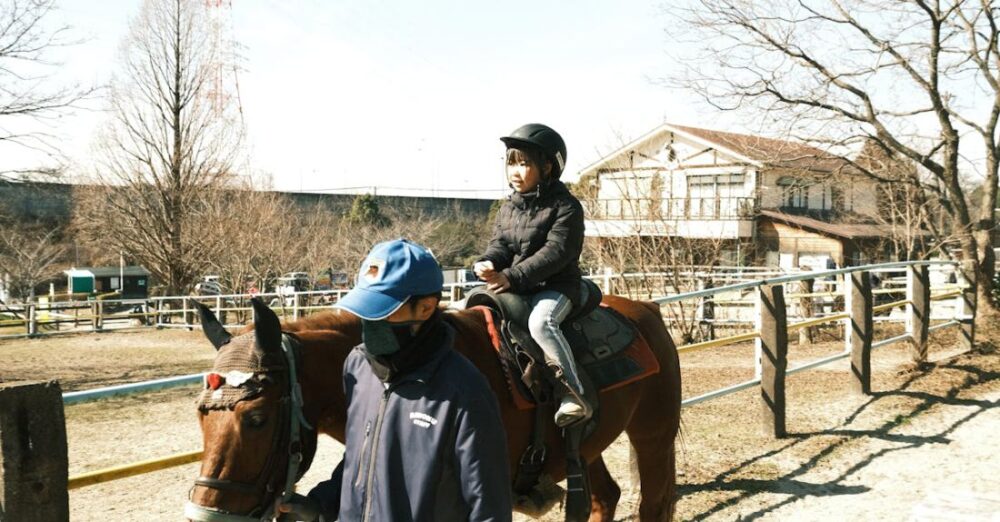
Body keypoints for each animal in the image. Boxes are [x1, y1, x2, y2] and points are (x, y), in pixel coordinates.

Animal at [189, 294, 680, 516]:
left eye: (256, 418)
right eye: (200, 416)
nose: (204, 513)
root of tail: (648, 309)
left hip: (653, 436)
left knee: (653, 503)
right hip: (588, 448)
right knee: (606, 497)